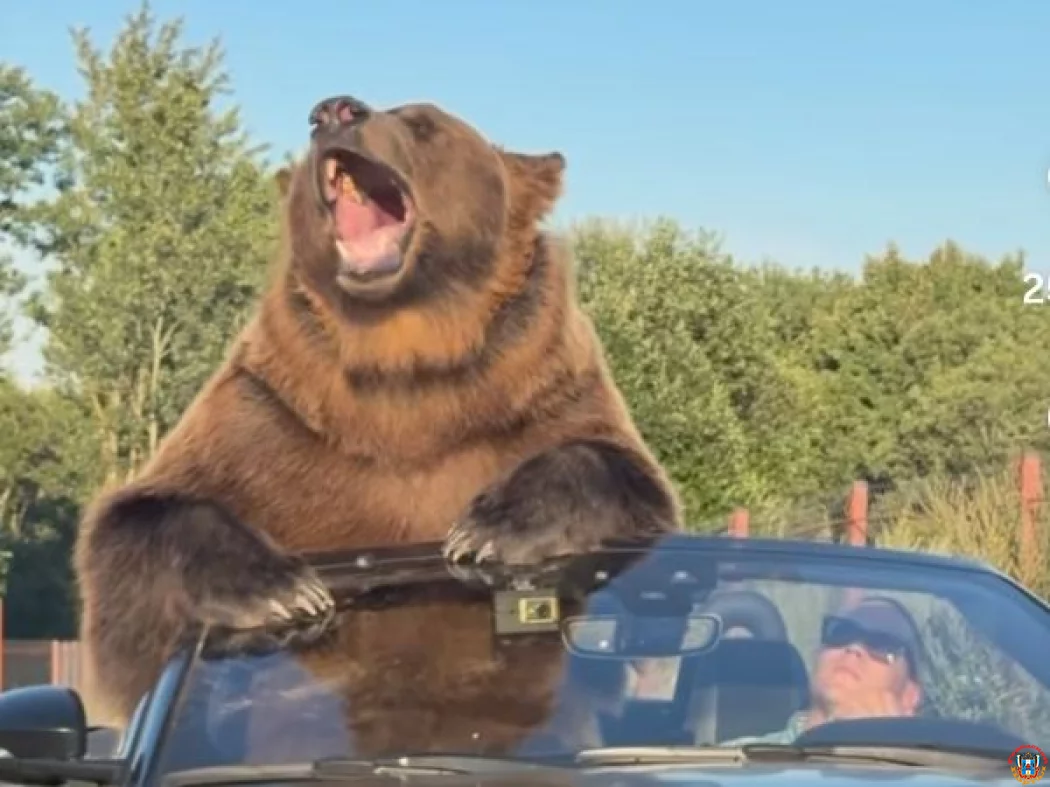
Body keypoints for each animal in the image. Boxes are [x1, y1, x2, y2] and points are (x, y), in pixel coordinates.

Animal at [73, 94, 683, 736]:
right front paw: (280, 587)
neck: (403, 356)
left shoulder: (537, 392)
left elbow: (622, 472)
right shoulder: (270, 414)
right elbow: (137, 526)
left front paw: (493, 527)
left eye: (423, 122)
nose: (334, 110)